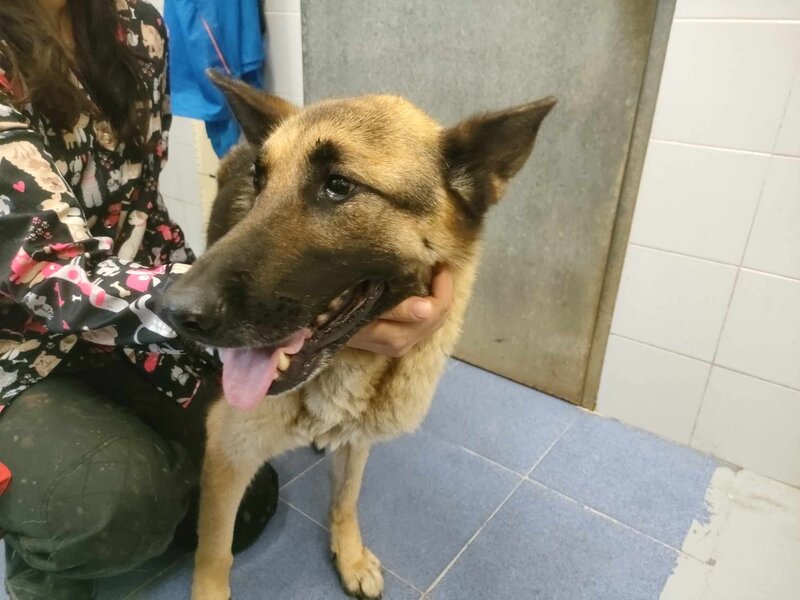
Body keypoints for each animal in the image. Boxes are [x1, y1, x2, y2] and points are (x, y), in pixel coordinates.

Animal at [160, 71, 555, 600]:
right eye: (259, 183)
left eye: (339, 186)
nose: (171, 309)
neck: (345, 365)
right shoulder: (227, 451)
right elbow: (214, 553)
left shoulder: (360, 433)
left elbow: (346, 498)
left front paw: (348, 555)